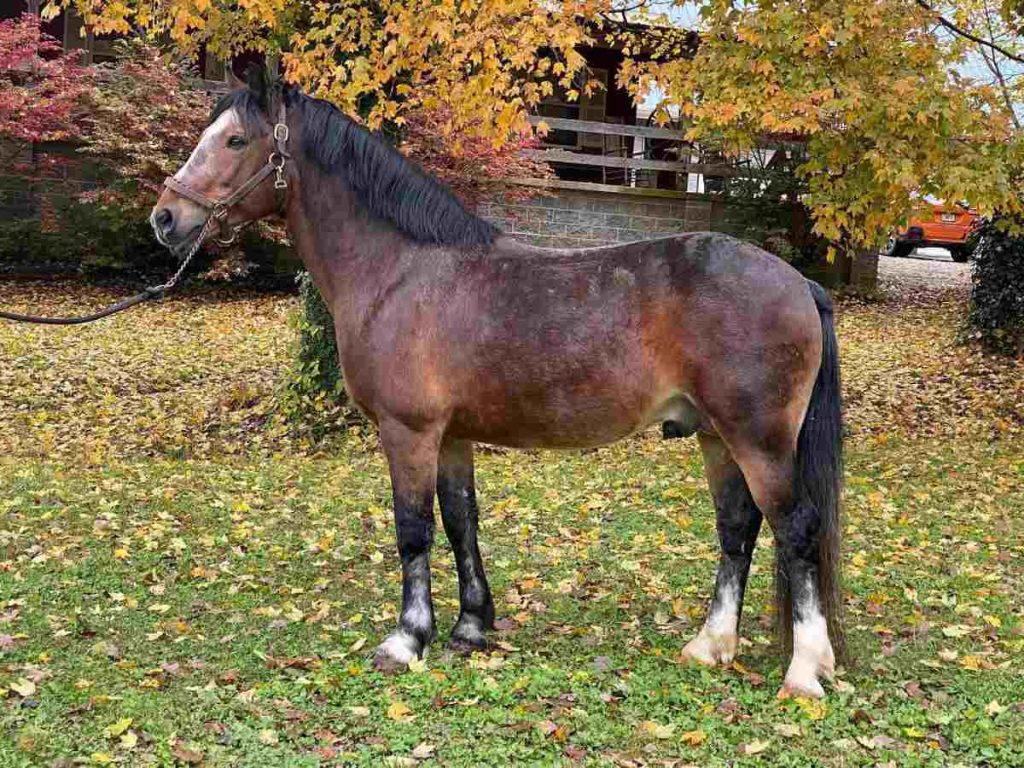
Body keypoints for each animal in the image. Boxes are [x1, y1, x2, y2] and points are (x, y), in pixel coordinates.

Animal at [149, 70, 839, 696]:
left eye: (235, 140)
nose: (166, 217)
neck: (398, 271)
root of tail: (799, 282)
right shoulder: (452, 436)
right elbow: (462, 521)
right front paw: (471, 626)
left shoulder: (408, 433)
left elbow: (413, 530)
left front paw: (407, 639)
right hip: (716, 436)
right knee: (738, 529)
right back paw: (711, 645)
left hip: (758, 440)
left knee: (796, 531)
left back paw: (804, 672)